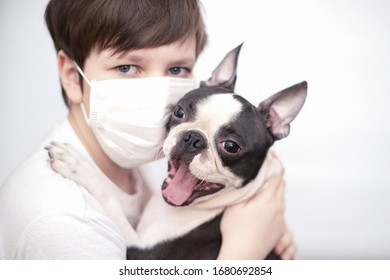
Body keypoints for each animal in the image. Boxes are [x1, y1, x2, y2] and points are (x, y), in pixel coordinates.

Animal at [46, 44, 308, 260]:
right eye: (179, 112)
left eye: (231, 146)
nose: (193, 138)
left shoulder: (142, 254)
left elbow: (110, 201)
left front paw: (78, 165)